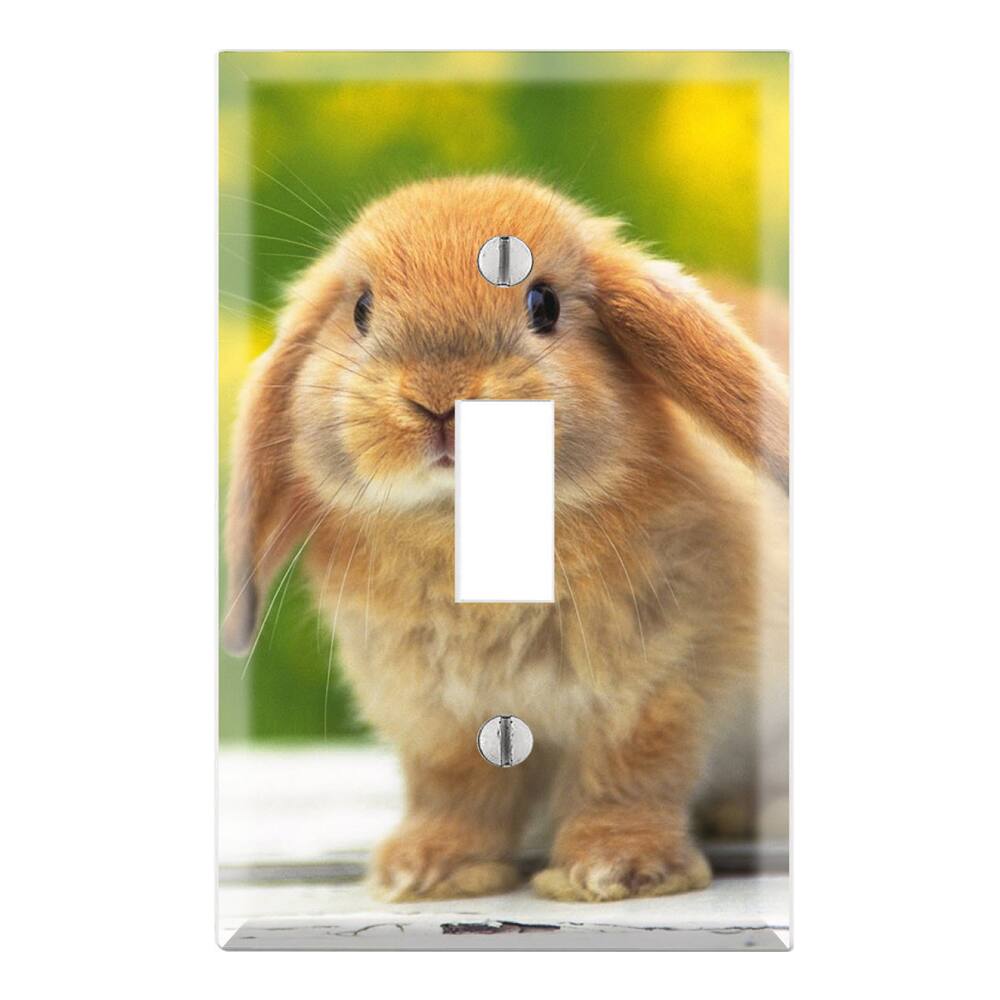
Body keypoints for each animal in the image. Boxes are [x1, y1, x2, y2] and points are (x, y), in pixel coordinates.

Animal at [222, 175, 789, 902]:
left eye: (544, 303)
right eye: (361, 309)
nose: (439, 397)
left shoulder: (657, 690)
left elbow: (629, 777)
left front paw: (613, 872)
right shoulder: (433, 718)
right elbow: (456, 791)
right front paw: (425, 871)